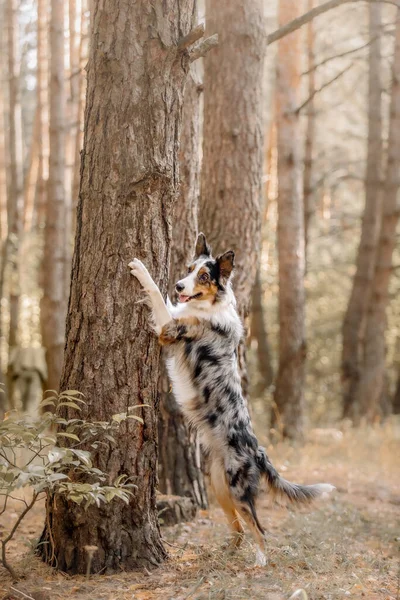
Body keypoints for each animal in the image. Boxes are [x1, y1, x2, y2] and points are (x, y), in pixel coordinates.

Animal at [129, 232, 334, 564]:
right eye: (189, 269)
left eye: (204, 276)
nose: (179, 286)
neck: (208, 306)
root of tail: (257, 449)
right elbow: (165, 299)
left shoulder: (169, 327)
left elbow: (157, 295)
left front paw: (141, 269)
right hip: (218, 487)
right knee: (237, 529)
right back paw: (224, 553)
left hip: (238, 491)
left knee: (260, 531)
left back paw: (260, 562)